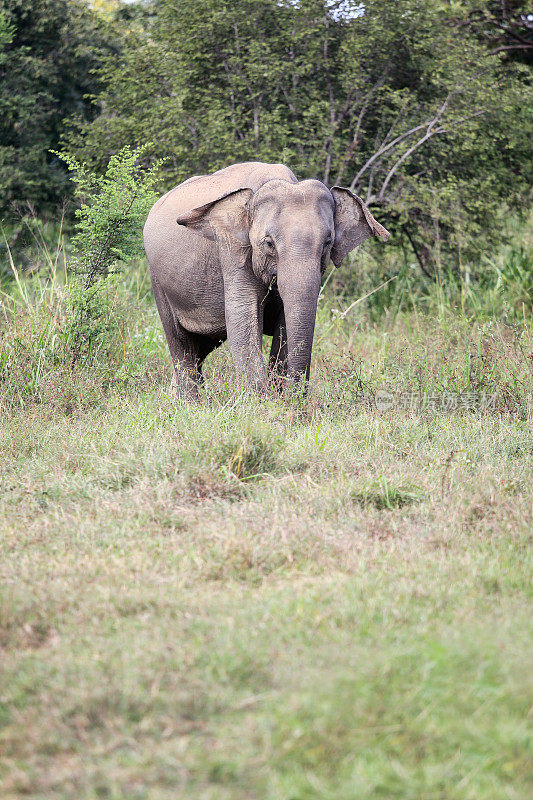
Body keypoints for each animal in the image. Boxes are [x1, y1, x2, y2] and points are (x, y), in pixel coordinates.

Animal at [143, 160, 388, 396]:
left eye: (327, 242)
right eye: (269, 243)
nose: (295, 398)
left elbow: (286, 323)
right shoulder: (233, 254)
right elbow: (243, 317)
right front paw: (261, 402)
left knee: (201, 347)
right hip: (158, 280)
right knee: (181, 343)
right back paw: (189, 402)